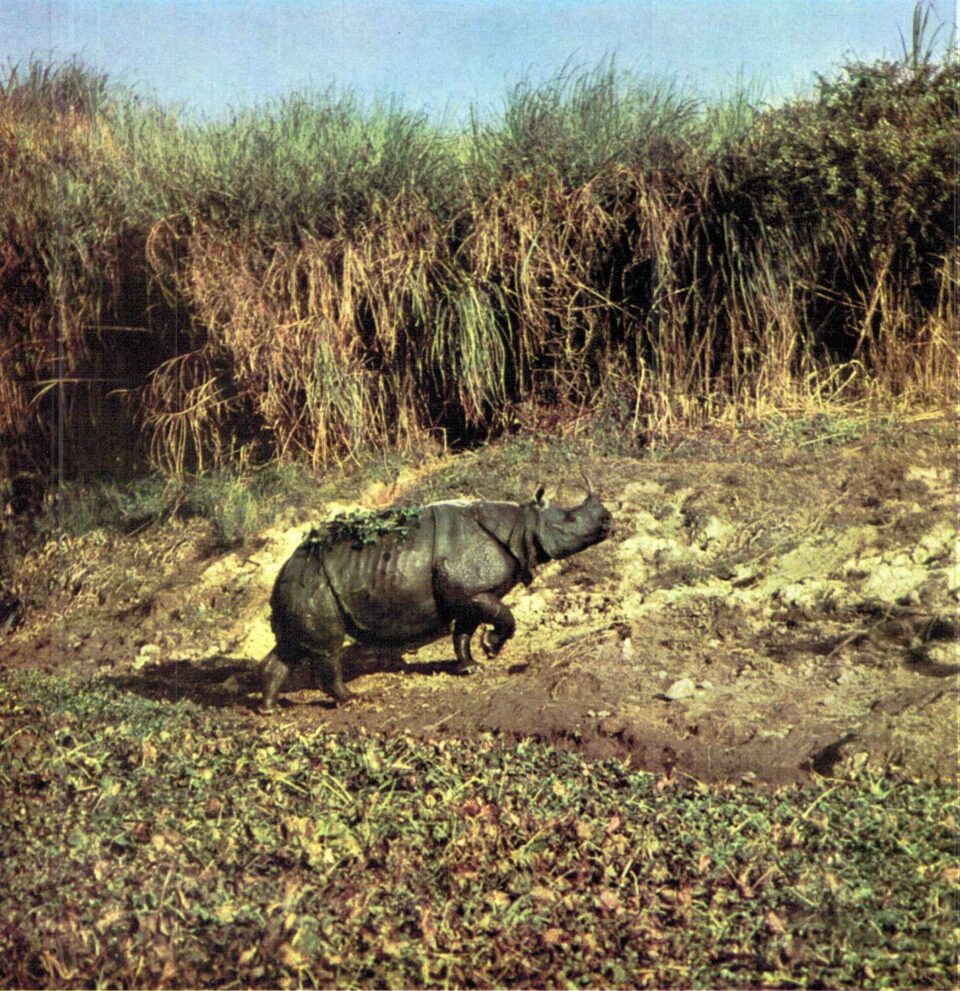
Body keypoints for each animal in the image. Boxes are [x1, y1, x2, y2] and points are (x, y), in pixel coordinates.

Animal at [259, 477, 612, 711]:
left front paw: (472, 666)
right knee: (327, 648)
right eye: (571, 518)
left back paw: (270, 709)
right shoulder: (469, 588)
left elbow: (464, 630)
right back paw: (355, 700)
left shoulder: (470, 593)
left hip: (304, 581)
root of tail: (286, 564)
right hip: (316, 580)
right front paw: (492, 648)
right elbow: (504, 615)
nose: (608, 520)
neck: (522, 525)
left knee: (290, 646)